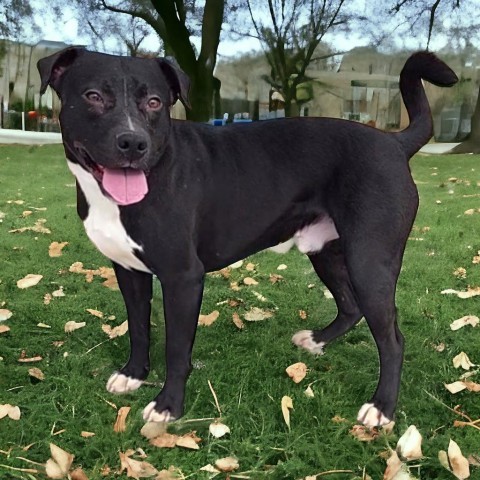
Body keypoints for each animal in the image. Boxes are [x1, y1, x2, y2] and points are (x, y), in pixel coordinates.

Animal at [37, 47, 458, 424]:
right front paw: (133, 375)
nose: (133, 142)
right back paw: (317, 341)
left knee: (392, 340)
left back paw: (382, 408)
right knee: (350, 306)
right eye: (93, 96)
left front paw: (168, 406)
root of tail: (394, 142)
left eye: (155, 102)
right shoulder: (129, 271)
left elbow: (176, 349)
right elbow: (138, 329)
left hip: (368, 260)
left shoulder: (182, 278)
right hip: (327, 252)